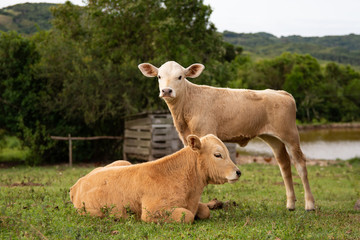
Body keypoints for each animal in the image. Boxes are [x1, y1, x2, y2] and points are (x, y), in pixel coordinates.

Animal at [69, 134, 240, 224]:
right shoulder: (151, 212)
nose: (238, 172)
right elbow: (187, 215)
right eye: (217, 154)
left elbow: (204, 210)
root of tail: (77, 184)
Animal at [138, 60, 316, 210]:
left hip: (291, 135)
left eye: (180, 76)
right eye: (159, 76)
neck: (185, 109)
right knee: (284, 164)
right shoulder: (186, 138)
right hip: (274, 138)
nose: (166, 91)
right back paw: (290, 204)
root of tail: (282, 93)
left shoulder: (205, 132)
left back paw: (310, 205)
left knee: (300, 164)